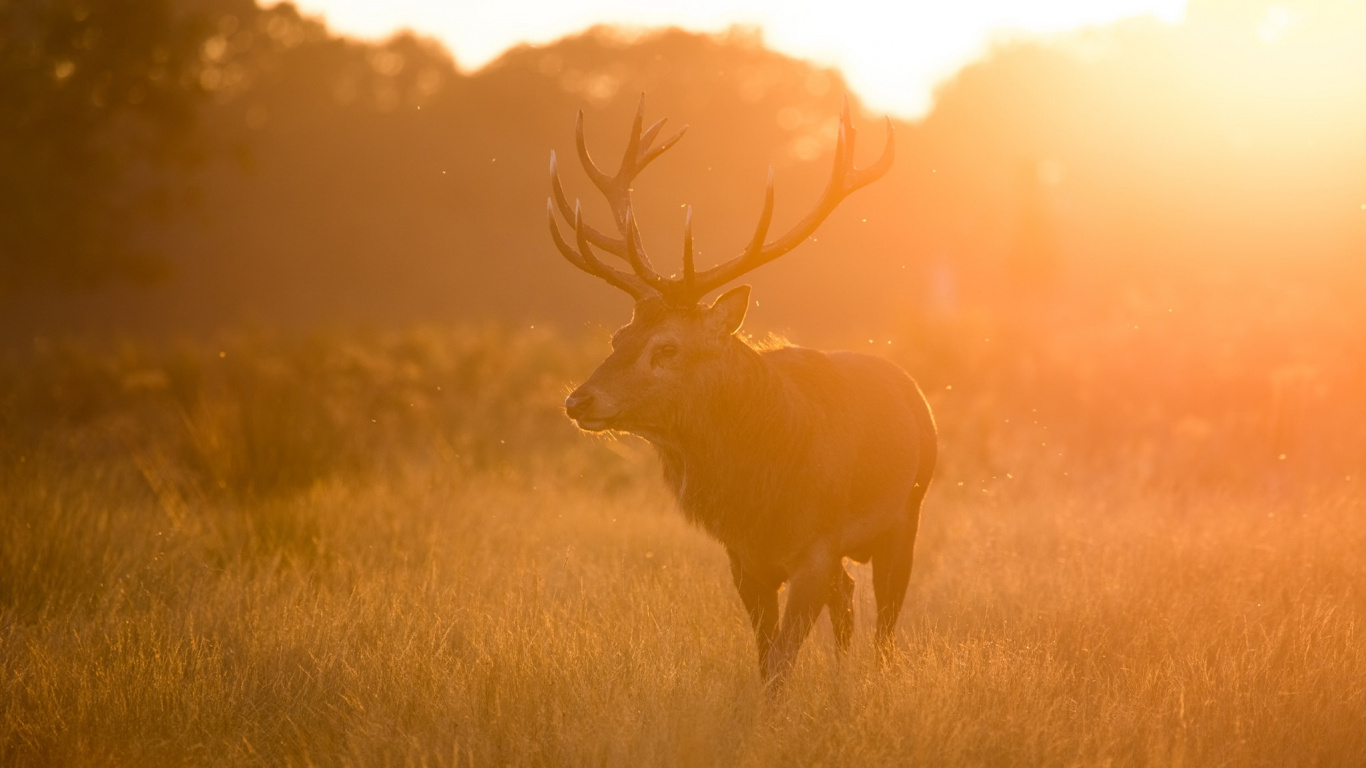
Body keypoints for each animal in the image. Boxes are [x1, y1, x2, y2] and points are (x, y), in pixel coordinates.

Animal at [547, 95, 936, 689]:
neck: (761, 494)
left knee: (885, 628)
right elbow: (764, 659)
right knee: (848, 602)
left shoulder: (815, 549)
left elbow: (779, 665)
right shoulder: (744, 559)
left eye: (667, 348)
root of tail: (914, 392)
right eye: (618, 336)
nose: (578, 401)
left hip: (907, 512)